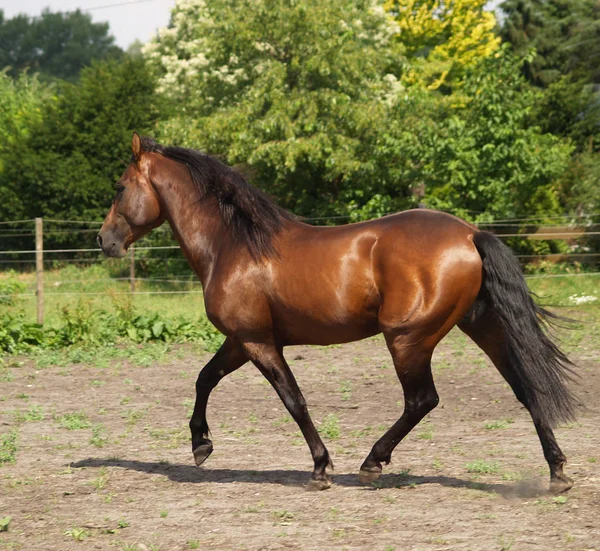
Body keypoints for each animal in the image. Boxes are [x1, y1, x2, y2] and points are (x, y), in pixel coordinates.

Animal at [97, 133, 576, 492]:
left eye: (119, 187)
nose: (104, 240)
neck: (233, 246)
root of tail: (470, 234)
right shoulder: (240, 340)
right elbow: (204, 379)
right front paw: (201, 445)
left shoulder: (257, 341)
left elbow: (293, 399)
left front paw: (320, 468)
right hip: (481, 326)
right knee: (525, 388)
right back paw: (557, 471)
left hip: (408, 339)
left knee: (422, 400)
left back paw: (372, 463)